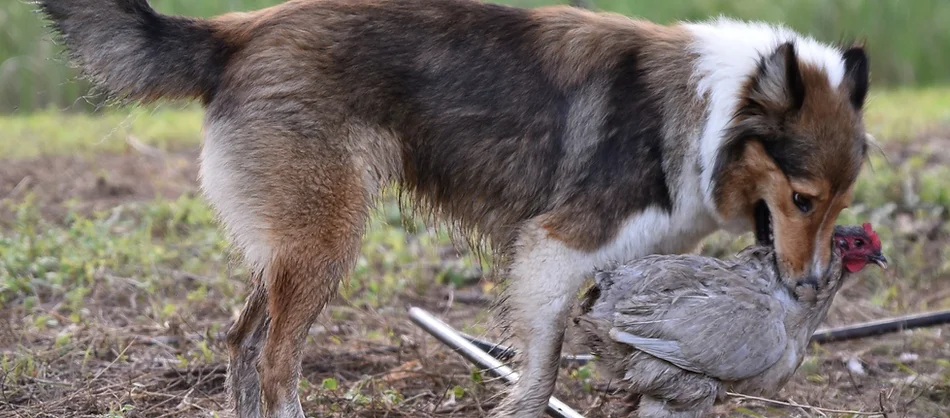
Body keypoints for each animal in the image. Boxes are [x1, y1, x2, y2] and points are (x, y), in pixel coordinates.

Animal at [37, 0, 872, 416]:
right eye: (802, 199)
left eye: (842, 202)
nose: (805, 288)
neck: (713, 111)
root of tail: (233, 33)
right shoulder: (553, 251)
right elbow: (540, 375)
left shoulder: (635, 268)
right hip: (327, 239)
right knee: (275, 361)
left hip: (289, 243)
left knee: (242, 342)